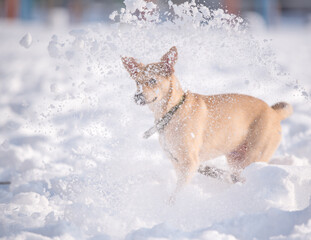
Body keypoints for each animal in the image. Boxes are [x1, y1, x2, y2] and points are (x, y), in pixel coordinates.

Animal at [121, 46, 292, 195]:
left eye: (152, 80)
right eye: (137, 82)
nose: (137, 96)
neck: (172, 111)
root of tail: (274, 112)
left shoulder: (189, 163)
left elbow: (176, 194)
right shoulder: (177, 163)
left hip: (253, 157)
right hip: (235, 159)